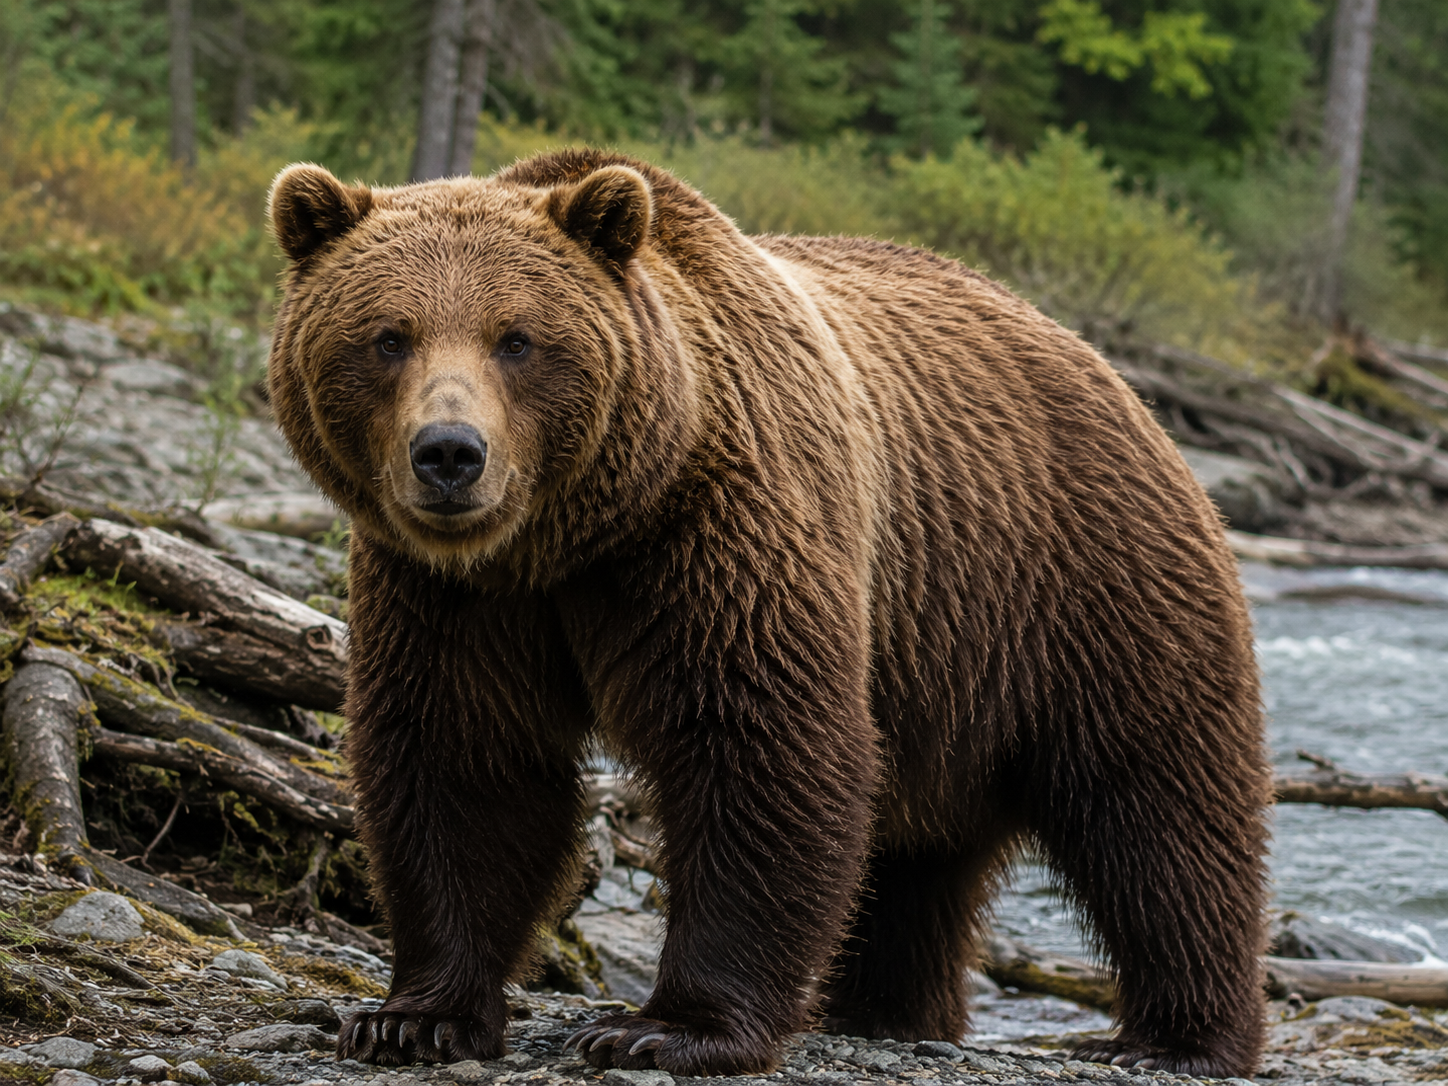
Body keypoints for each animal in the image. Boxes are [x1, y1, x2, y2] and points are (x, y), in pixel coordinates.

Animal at [265, 150, 1270, 1079]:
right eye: (388, 337)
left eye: (516, 339)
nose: (450, 454)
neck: (569, 539)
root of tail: (1113, 375)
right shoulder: (452, 597)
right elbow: (463, 759)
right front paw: (412, 1017)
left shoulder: (721, 532)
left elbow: (758, 740)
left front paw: (664, 1028)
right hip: (943, 665)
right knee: (919, 857)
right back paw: (886, 1013)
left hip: (1080, 585)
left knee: (1157, 806)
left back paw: (1179, 1036)